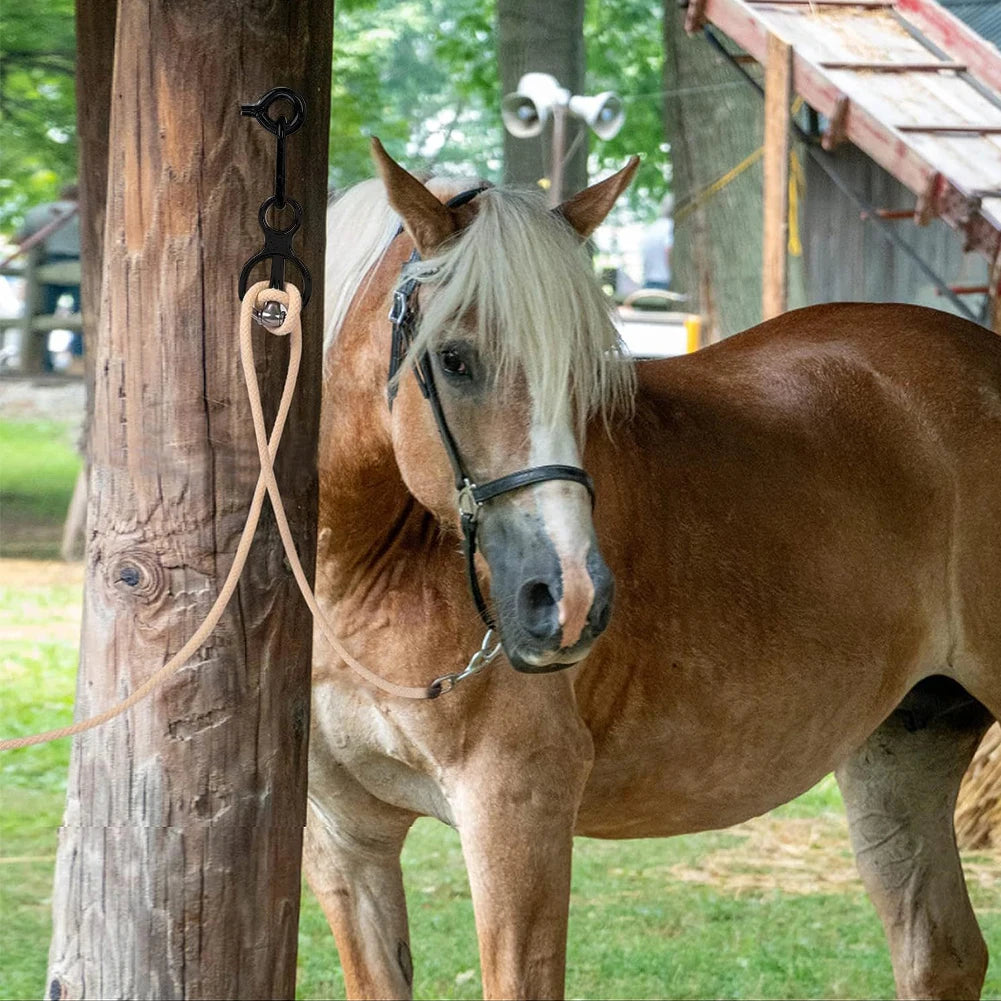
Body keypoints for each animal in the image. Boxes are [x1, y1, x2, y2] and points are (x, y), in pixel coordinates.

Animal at [302, 139, 1001, 1001]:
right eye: (455, 359)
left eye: (587, 371)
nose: (569, 597)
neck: (358, 573)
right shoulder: (345, 838)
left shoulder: (515, 809)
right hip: (900, 747)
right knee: (940, 952)